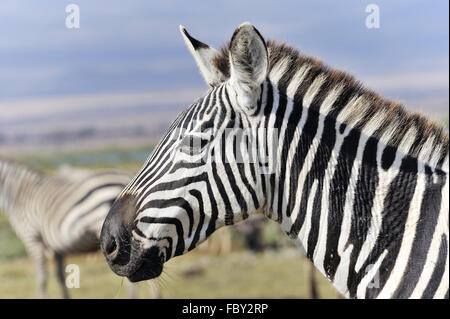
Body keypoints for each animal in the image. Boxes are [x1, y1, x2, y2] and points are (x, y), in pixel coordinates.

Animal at [0, 158, 133, 300]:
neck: (17, 193)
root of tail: (126, 176)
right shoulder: (56, 245)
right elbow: (61, 276)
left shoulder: (32, 237)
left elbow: (42, 277)